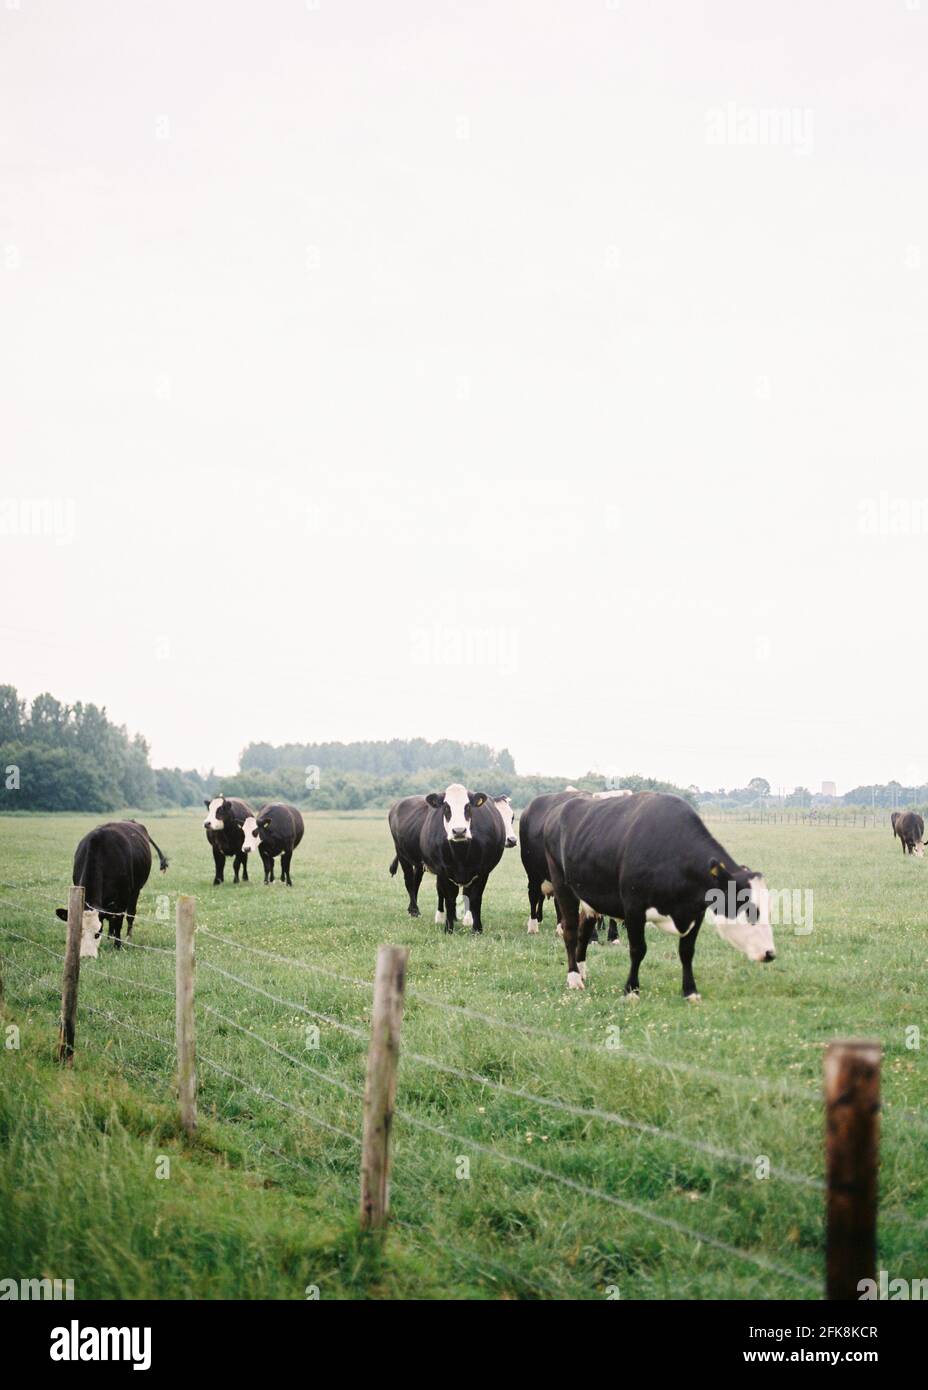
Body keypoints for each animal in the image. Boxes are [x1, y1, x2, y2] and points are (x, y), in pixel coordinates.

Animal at [55, 822, 169, 956]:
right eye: (79, 932)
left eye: (97, 933)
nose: (87, 955)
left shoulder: (122, 898)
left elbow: (119, 921)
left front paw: (117, 945)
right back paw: (110, 934)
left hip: (135, 890)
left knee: (130, 915)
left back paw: (128, 937)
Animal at [388, 789, 514, 928]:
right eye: (446, 808)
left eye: (512, 817)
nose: (512, 840)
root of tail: (397, 805)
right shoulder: (442, 869)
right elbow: (442, 891)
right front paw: (441, 917)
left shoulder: (478, 871)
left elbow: (467, 893)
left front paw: (465, 919)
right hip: (402, 854)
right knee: (409, 881)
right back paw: (414, 911)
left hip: (420, 863)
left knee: (416, 880)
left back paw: (412, 909)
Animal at [539, 795, 777, 1000]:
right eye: (749, 909)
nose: (770, 953)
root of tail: (560, 808)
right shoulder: (634, 908)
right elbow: (638, 949)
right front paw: (631, 991)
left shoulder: (696, 911)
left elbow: (686, 951)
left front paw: (690, 992)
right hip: (562, 885)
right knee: (570, 931)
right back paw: (573, 977)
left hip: (589, 897)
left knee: (584, 930)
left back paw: (582, 970)